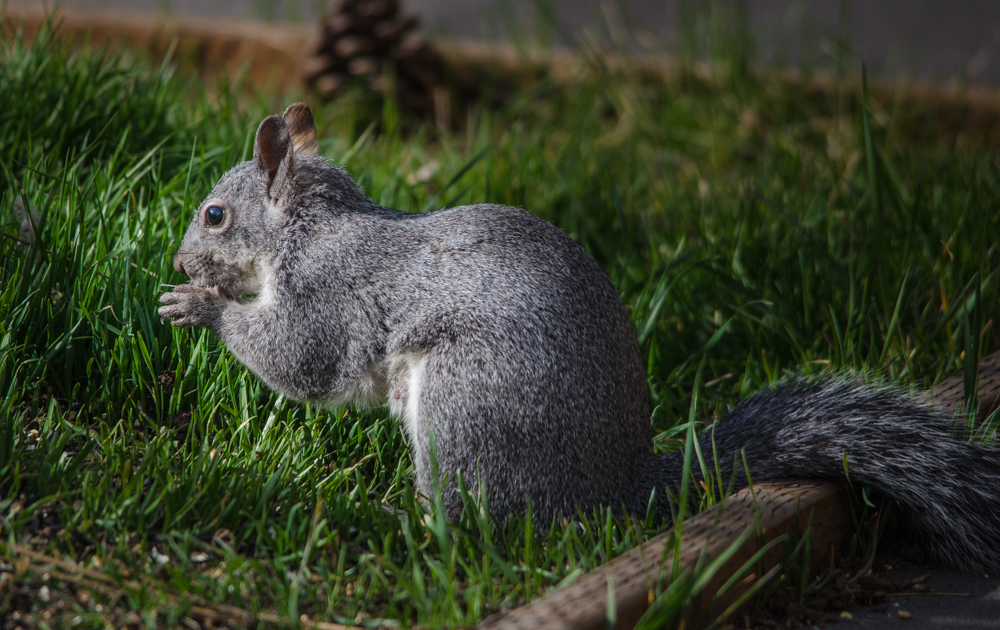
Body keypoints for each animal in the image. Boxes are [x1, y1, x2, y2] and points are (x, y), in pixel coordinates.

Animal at [160, 104, 1000, 574]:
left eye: (214, 215)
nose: (177, 260)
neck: (308, 227)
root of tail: (614, 488)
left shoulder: (329, 293)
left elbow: (298, 358)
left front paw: (200, 305)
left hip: (469, 406)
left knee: (480, 520)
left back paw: (406, 527)